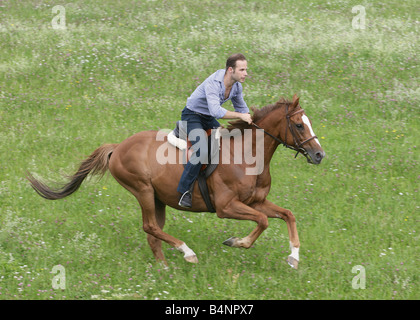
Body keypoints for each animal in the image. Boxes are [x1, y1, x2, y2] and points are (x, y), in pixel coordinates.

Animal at [27, 95, 324, 270]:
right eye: (299, 125)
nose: (319, 155)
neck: (247, 156)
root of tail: (118, 147)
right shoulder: (226, 207)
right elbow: (262, 222)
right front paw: (236, 242)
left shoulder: (256, 201)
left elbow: (287, 215)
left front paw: (293, 257)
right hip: (143, 190)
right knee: (150, 226)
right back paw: (187, 252)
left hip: (157, 198)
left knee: (153, 232)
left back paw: (163, 269)